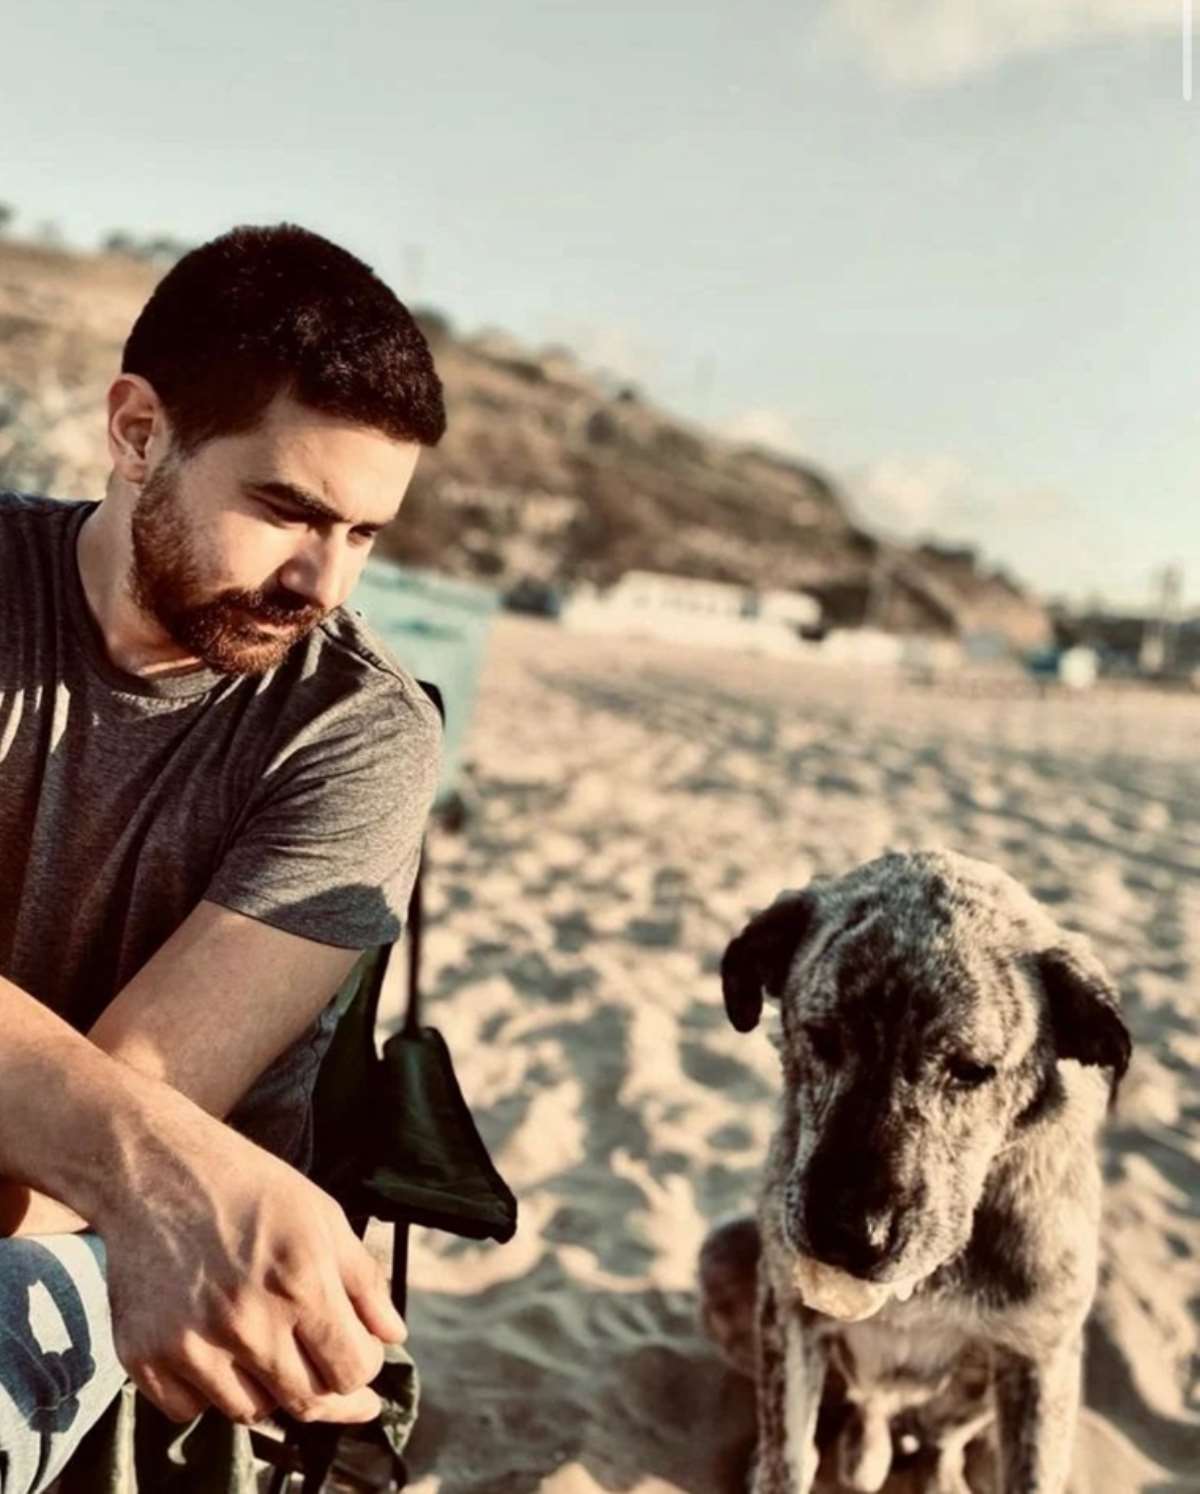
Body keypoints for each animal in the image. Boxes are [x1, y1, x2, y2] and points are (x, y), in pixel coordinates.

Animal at [700, 850, 1131, 1493]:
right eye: (820, 1037)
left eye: (972, 1069)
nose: (848, 1236)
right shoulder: (791, 1314)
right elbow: (787, 1457)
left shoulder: (1040, 1354)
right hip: (727, 1259)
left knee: (940, 1439)